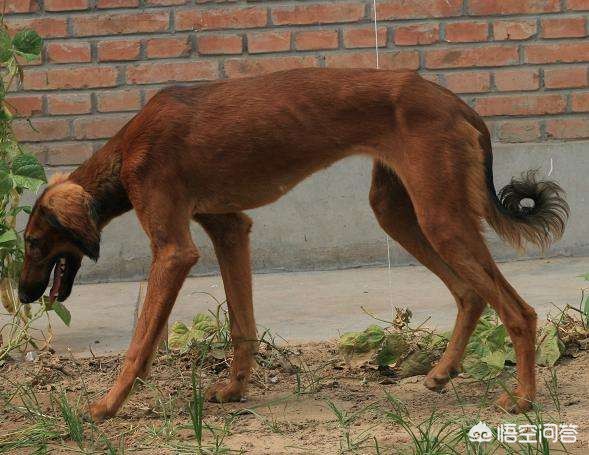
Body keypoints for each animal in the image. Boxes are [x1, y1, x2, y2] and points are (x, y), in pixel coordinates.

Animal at [18, 67, 568, 420]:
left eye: (34, 243)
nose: (22, 295)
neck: (125, 152)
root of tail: (457, 103)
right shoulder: (229, 228)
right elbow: (241, 325)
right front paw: (235, 388)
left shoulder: (174, 251)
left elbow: (139, 343)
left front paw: (107, 406)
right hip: (399, 212)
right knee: (470, 293)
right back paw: (441, 373)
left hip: (440, 218)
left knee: (520, 312)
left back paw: (522, 400)